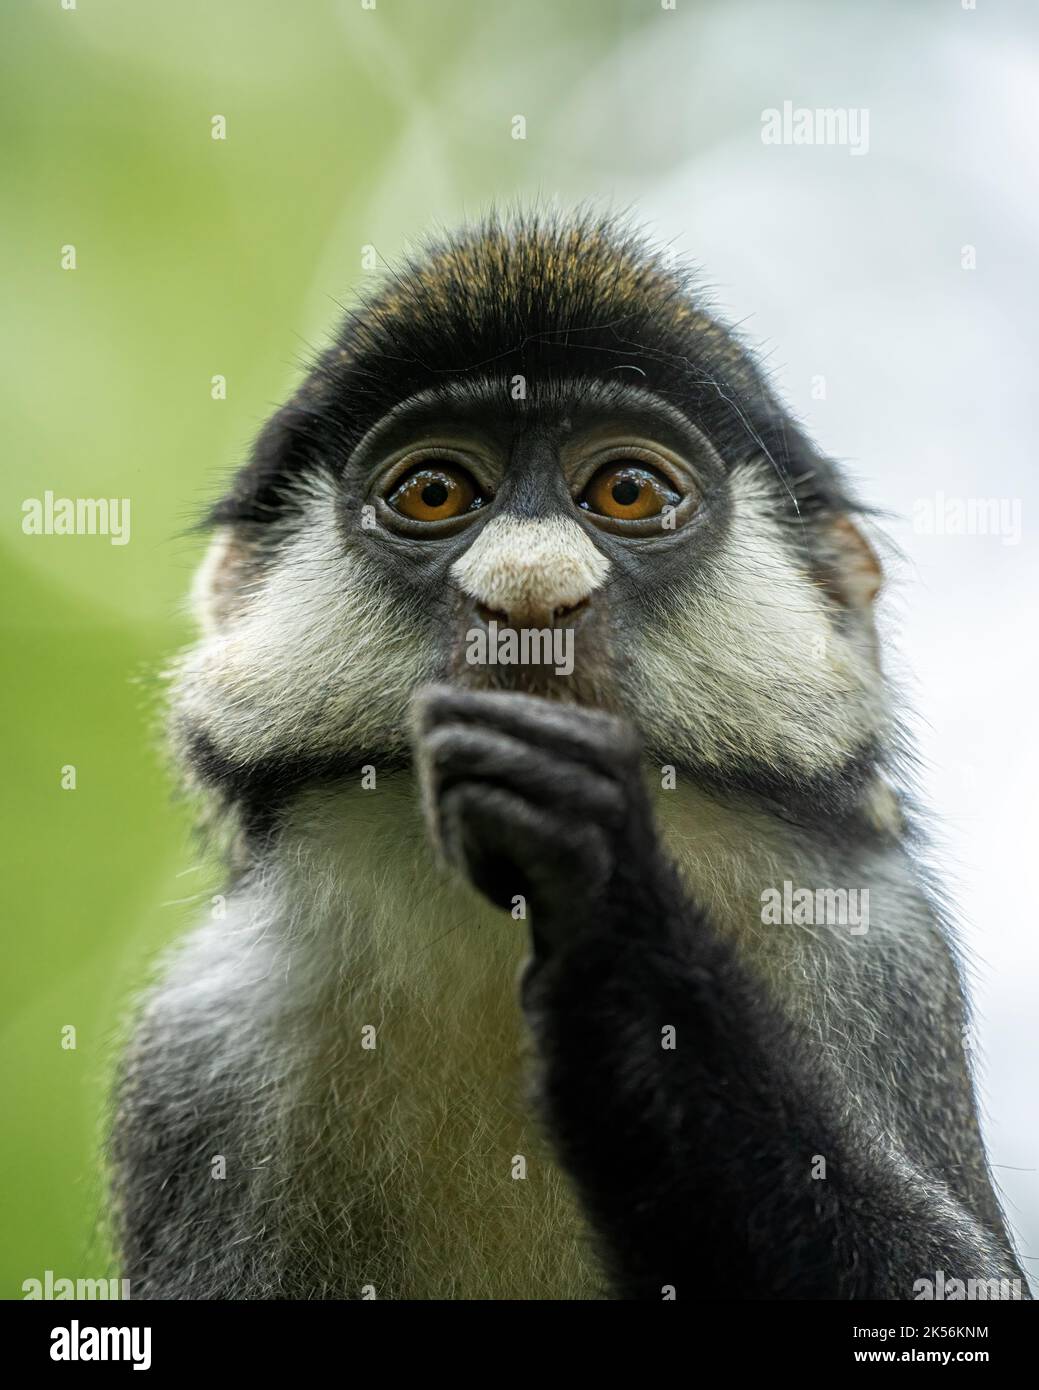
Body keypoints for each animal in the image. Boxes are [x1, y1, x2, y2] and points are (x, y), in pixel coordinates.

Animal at [110, 210, 1030, 1301]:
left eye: (626, 492)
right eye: (434, 492)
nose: (530, 592)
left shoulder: (880, 950)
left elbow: (952, 1276)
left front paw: (610, 914)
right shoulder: (197, 1059)